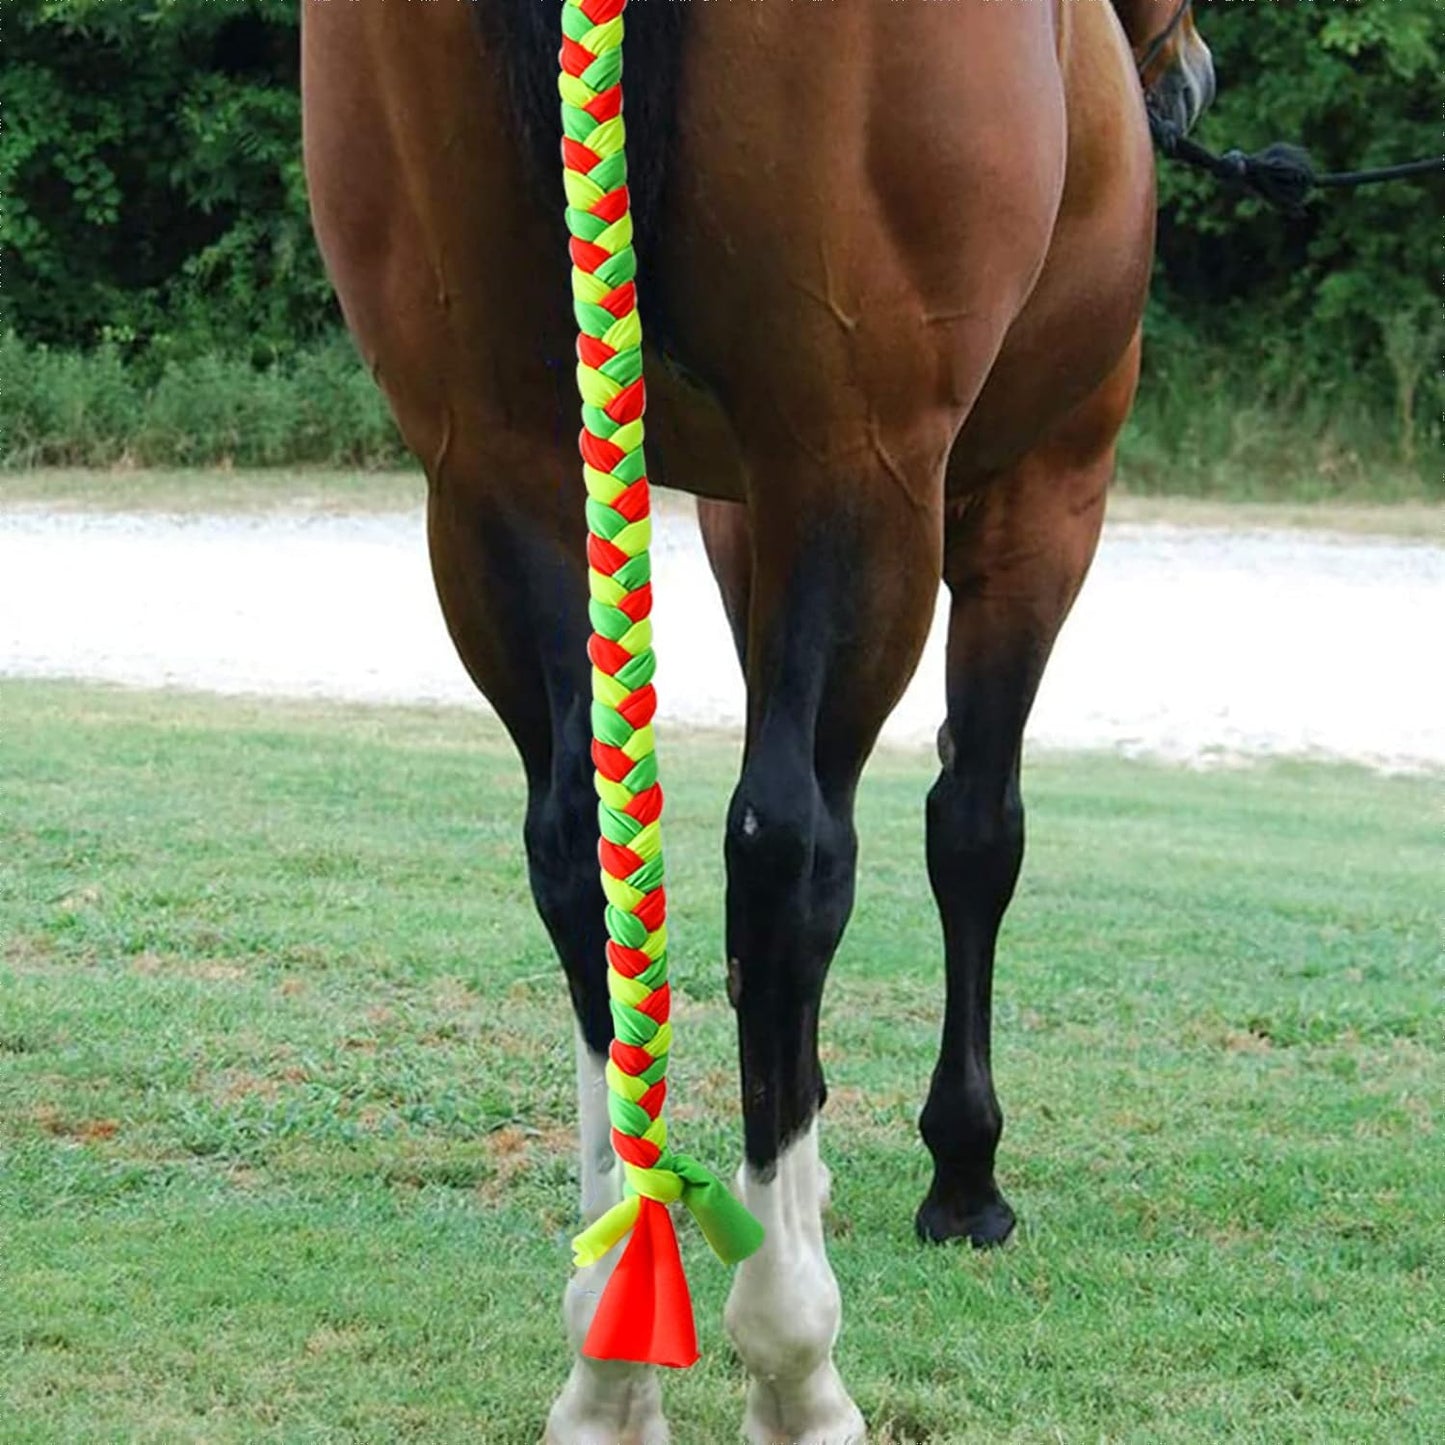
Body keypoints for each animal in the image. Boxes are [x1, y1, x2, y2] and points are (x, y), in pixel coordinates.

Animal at [301, 1, 1214, 1439]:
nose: (1184, 80)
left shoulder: (730, 509)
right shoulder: (1043, 491)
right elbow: (973, 830)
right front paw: (962, 1169)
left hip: (492, 462)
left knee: (582, 848)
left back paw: (612, 1351)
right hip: (859, 461)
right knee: (789, 853)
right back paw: (793, 1354)